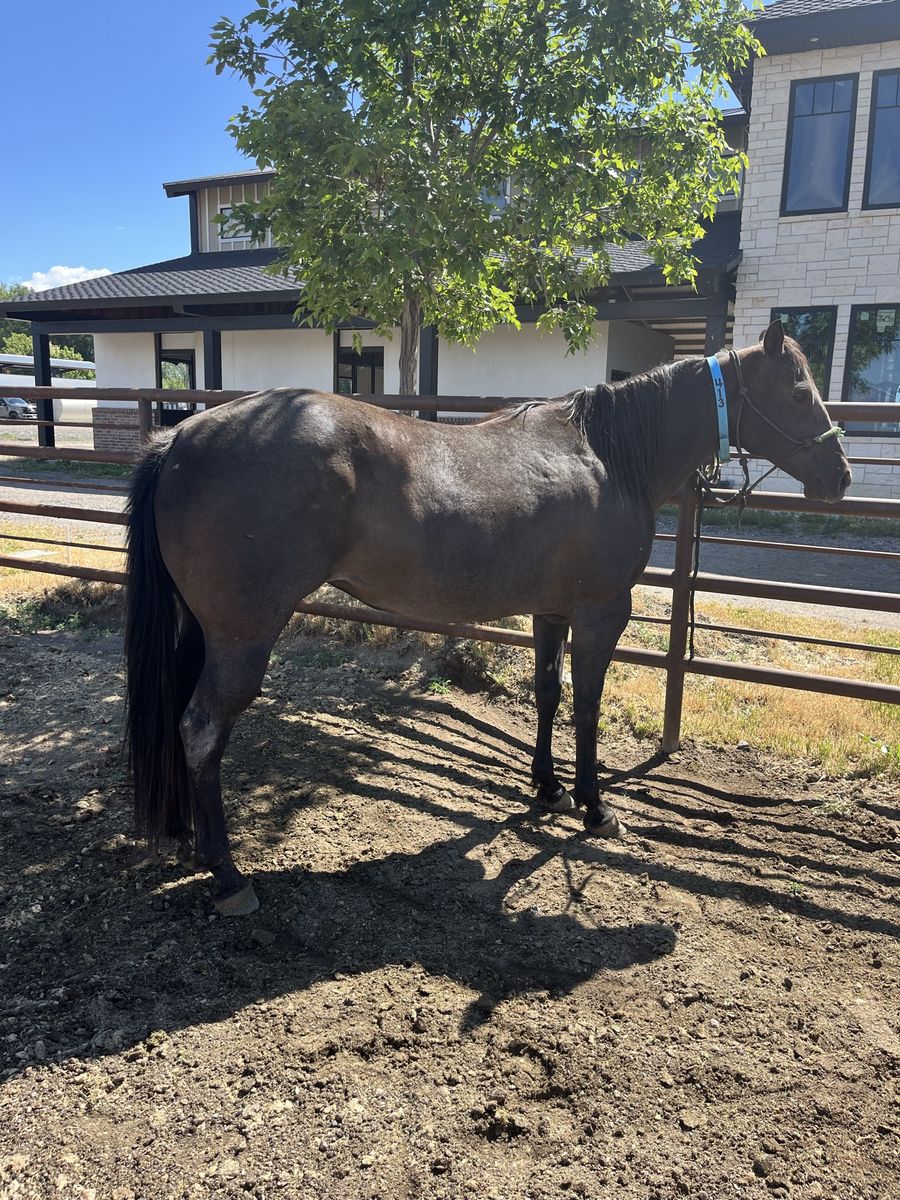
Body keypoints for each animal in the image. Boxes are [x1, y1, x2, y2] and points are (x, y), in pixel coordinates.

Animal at [124, 320, 851, 915]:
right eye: (797, 391)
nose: (840, 475)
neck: (608, 456)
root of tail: (181, 437)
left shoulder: (551, 611)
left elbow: (549, 695)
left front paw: (548, 791)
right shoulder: (599, 614)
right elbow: (587, 706)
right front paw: (595, 808)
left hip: (203, 631)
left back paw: (189, 837)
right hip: (242, 638)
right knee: (201, 729)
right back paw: (227, 874)